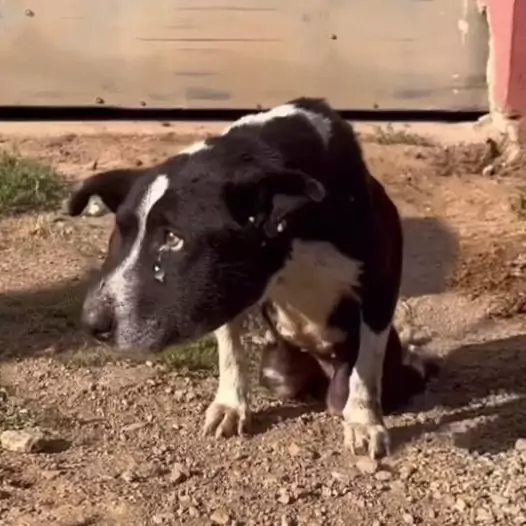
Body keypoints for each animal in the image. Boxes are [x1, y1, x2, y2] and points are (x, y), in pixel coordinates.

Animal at [69, 98, 438, 458]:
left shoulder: (381, 286)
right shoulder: (225, 291)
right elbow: (230, 349)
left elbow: (367, 366)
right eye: (121, 234)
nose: (91, 324)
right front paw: (231, 406)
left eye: (174, 238)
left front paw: (363, 422)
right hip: (278, 373)